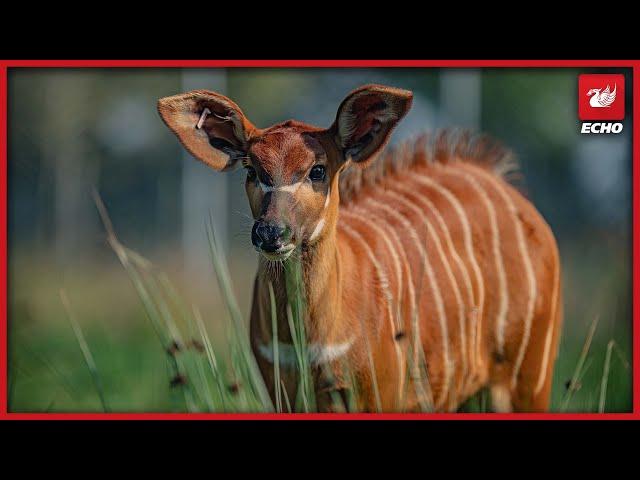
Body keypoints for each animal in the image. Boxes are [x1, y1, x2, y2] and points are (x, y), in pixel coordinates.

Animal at [158, 83, 564, 412]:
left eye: (317, 170)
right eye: (251, 171)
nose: (272, 233)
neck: (309, 340)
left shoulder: (376, 394)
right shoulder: (283, 393)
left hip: (528, 380)